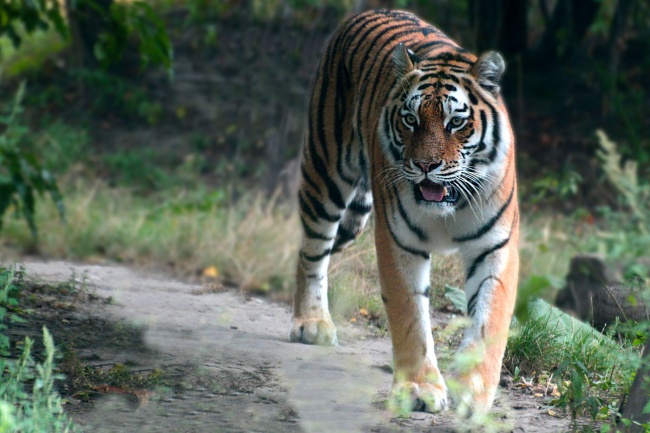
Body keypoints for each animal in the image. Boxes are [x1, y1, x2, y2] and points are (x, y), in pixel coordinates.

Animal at [288, 9, 516, 416]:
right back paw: (311, 323)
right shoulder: (399, 240)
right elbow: (410, 315)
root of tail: (371, 10)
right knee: (311, 251)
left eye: (456, 122)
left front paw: (471, 393)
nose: (425, 165)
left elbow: (490, 320)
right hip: (325, 175)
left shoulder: (495, 246)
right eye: (411, 119)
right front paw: (418, 388)